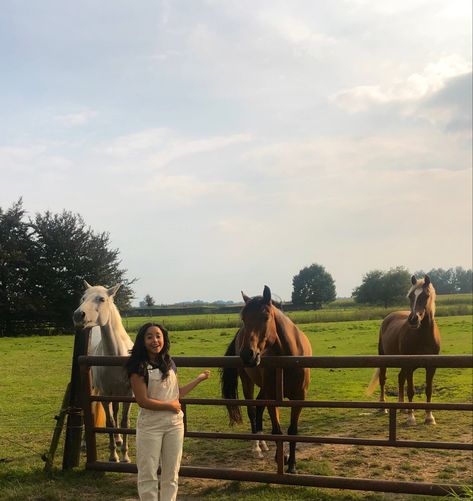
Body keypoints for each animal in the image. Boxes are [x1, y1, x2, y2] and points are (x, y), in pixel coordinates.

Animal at [73, 282, 134, 460]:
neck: (116, 356)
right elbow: (110, 423)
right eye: (83, 298)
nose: (78, 315)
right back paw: (84, 443)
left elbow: (124, 422)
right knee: (93, 409)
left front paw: (125, 456)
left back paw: (119, 439)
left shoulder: (128, 394)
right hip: (94, 388)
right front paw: (113, 456)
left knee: (115, 411)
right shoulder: (105, 395)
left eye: (102, 299)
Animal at [220, 286, 312, 472]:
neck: (289, 357)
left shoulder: (299, 398)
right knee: (252, 410)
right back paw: (257, 448)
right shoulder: (273, 398)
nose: (247, 354)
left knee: (258, 407)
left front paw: (291, 465)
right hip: (248, 382)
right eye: (243, 318)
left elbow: (292, 430)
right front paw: (281, 458)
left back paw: (263, 444)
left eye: (265, 317)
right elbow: (277, 430)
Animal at [366, 276, 440, 424]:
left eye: (426, 295)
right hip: (385, 359)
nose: (413, 319)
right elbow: (410, 390)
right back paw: (383, 407)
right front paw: (411, 418)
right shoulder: (409, 365)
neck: (423, 336)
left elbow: (428, 390)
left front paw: (429, 417)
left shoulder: (431, 367)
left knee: (401, 378)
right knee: (383, 379)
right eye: (410, 296)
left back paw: (402, 407)